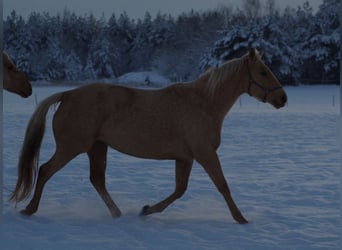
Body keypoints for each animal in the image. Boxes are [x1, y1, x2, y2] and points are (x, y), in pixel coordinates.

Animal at [10, 47, 288, 224]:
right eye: (263, 72)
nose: (282, 99)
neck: (204, 103)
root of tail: (66, 94)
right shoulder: (205, 154)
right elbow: (222, 186)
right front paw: (241, 218)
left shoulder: (185, 158)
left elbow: (179, 190)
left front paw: (145, 210)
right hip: (72, 147)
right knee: (45, 170)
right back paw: (29, 209)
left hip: (97, 147)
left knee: (97, 180)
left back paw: (118, 214)